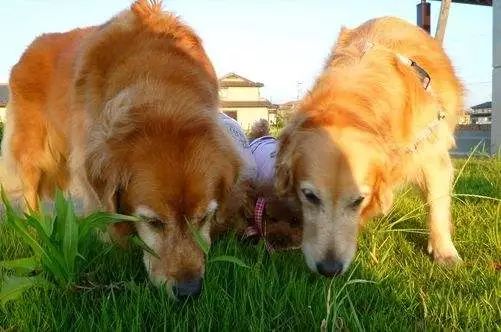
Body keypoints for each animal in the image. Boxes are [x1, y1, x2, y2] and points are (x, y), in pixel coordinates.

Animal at [3, 0, 242, 296]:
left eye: (204, 218)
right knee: (29, 197)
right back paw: (38, 233)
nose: (189, 291)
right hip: (36, 155)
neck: (162, 83)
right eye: (153, 223)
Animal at [276, 16, 462, 276]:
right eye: (310, 196)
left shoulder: (432, 153)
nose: (330, 269)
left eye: (358, 200)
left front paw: (444, 252)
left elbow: (437, 204)